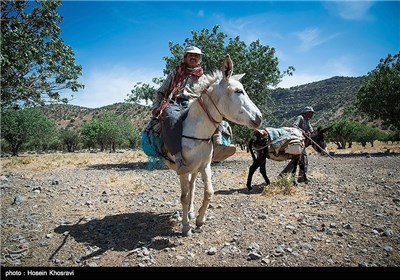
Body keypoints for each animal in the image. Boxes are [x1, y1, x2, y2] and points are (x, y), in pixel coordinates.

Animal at [164, 54, 260, 236]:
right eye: (238, 91)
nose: (259, 117)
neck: (196, 132)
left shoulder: (205, 165)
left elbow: (208, 192)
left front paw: (200, 219)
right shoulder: (182, 170)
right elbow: (183, 197)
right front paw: (186, 227)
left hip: (195, 169)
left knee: (193, 187)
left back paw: (191, 212)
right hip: (188, 169)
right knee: (189, 190)